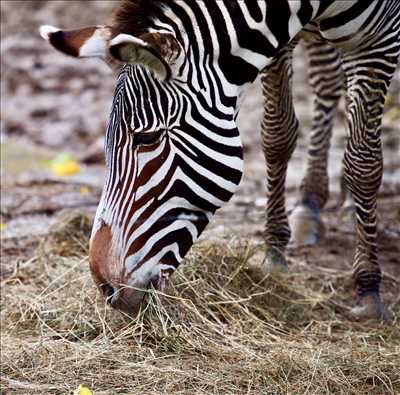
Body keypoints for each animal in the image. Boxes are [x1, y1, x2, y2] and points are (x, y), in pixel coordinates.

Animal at [41, 0, 400, 320]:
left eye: (147, 139)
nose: (106, 289)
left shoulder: (379, 41)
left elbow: (363, 161)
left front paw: (369, 291)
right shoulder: (278, 34)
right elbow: (277, 134)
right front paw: (274, 254)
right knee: (327, 75)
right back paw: (311, 204)